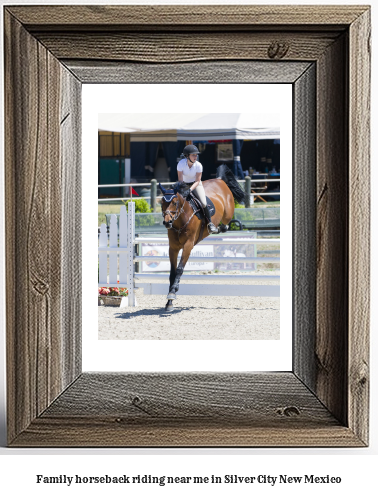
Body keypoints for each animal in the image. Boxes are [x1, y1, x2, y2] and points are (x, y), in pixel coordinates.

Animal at [159, 164, 245, 312]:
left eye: (175, 202)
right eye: (162, 203)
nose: (167, 222)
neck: (181, 220)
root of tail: (219, 179)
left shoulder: (188, 245)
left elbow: (180, 270)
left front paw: (173, 293)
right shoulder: (173, 248)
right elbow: (172, 272)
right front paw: (169, 301)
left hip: (228, 212)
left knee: (226, 223)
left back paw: (216, 228)